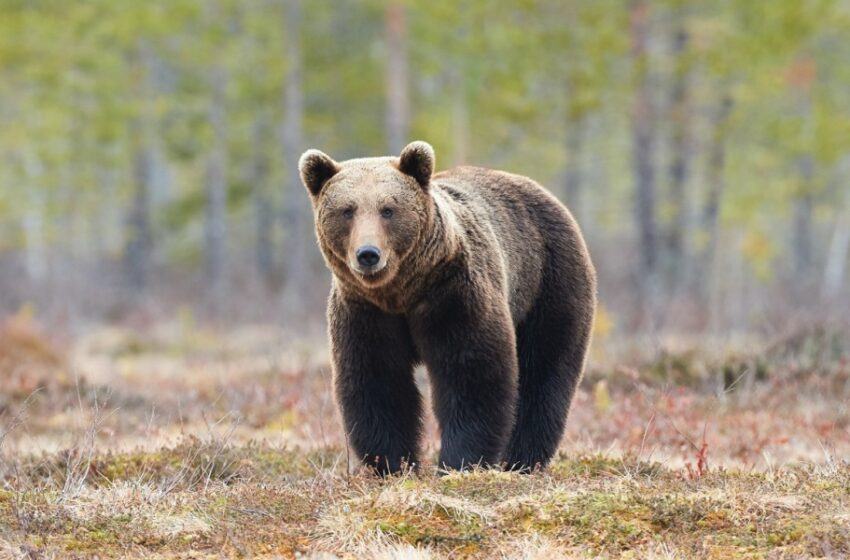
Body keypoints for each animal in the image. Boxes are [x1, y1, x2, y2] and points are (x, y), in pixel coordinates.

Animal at [300, 140, 596, 472]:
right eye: (347, 210)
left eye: (388, 209)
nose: (368, 254)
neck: (401, 291)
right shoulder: (365, 310)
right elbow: (377, 381)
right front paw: (393, 463)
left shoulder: (453, 294)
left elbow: (471, 375)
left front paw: (460, 461)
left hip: (548, 281)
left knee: (544, 370)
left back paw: (522, 460)